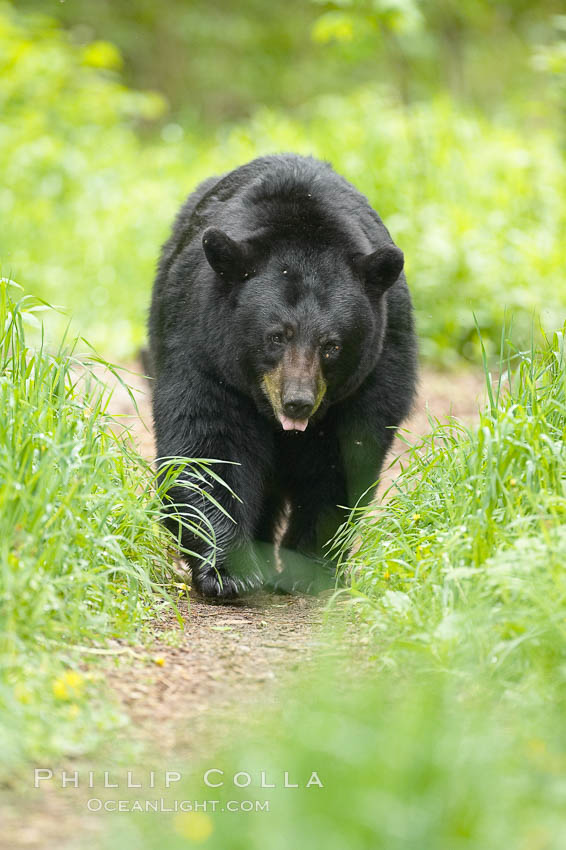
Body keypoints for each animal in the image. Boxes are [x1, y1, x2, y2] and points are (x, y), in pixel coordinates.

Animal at [149, 156, 420, 600]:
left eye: (332, 345)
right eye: (275, 336)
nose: (298, 402)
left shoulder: (376, 369)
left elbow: (342, 461)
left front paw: (308, 567)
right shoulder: (201, 345)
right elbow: (209, 443)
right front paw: (228, 570)